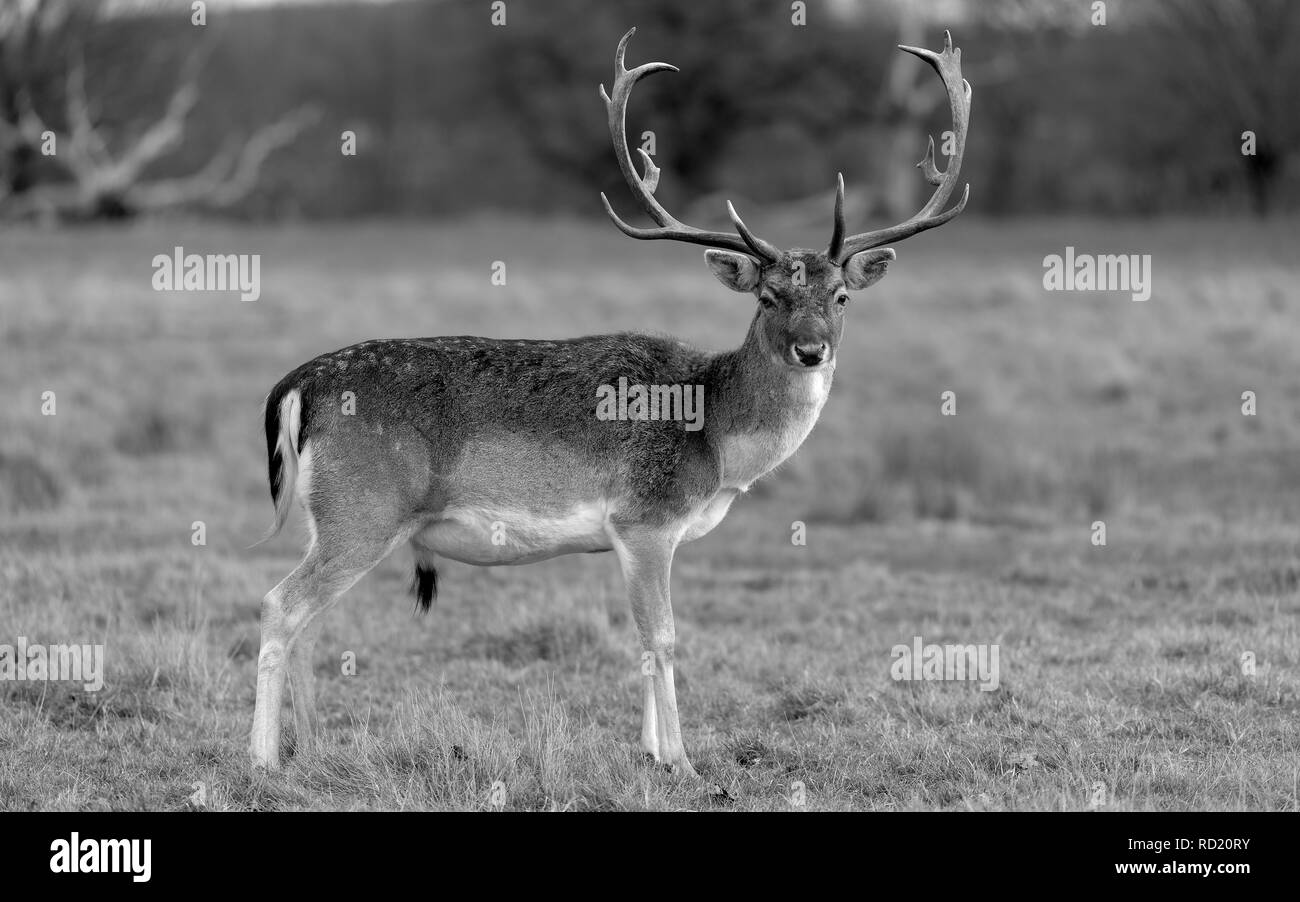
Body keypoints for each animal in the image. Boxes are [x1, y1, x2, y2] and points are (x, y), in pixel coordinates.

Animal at [248, 26, 972, 779]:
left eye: (842, 296)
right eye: (770, 297)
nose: (811, 350)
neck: (716, 437)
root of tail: (297, 385)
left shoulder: (639, 536)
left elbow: (643, 640)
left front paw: (651, 752)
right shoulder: (644, 519)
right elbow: (664, 636)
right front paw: (682, 761)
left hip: (331, 519)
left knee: (308, 621)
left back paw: (314, 752)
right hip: (364, 513)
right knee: (277, 604)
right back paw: (263, 760)